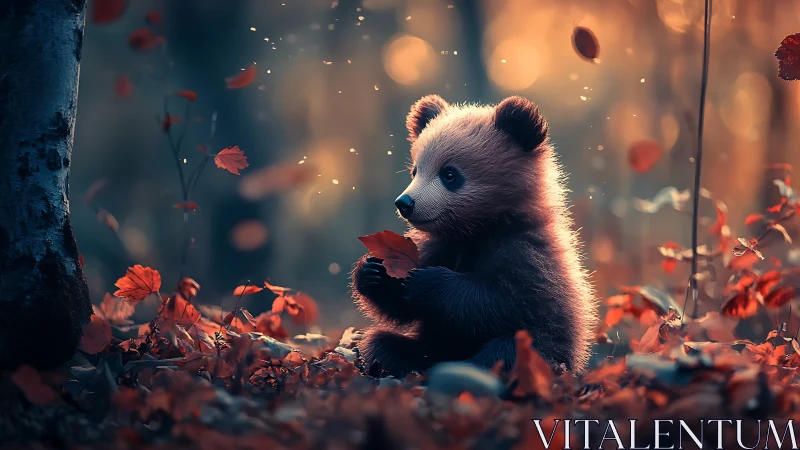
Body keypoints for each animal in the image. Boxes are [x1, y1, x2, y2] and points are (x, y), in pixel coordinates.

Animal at [350, 94, 597, 378]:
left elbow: (502, 301)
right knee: (381, 344)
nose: (405, 203)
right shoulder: (440, 245)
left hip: (550, 352)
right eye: (415, 171)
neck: (476, 229)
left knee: (510, 351)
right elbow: (401, 304)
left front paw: (427, 281)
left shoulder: (527, 251)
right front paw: (373, 271)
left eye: (449, 175)